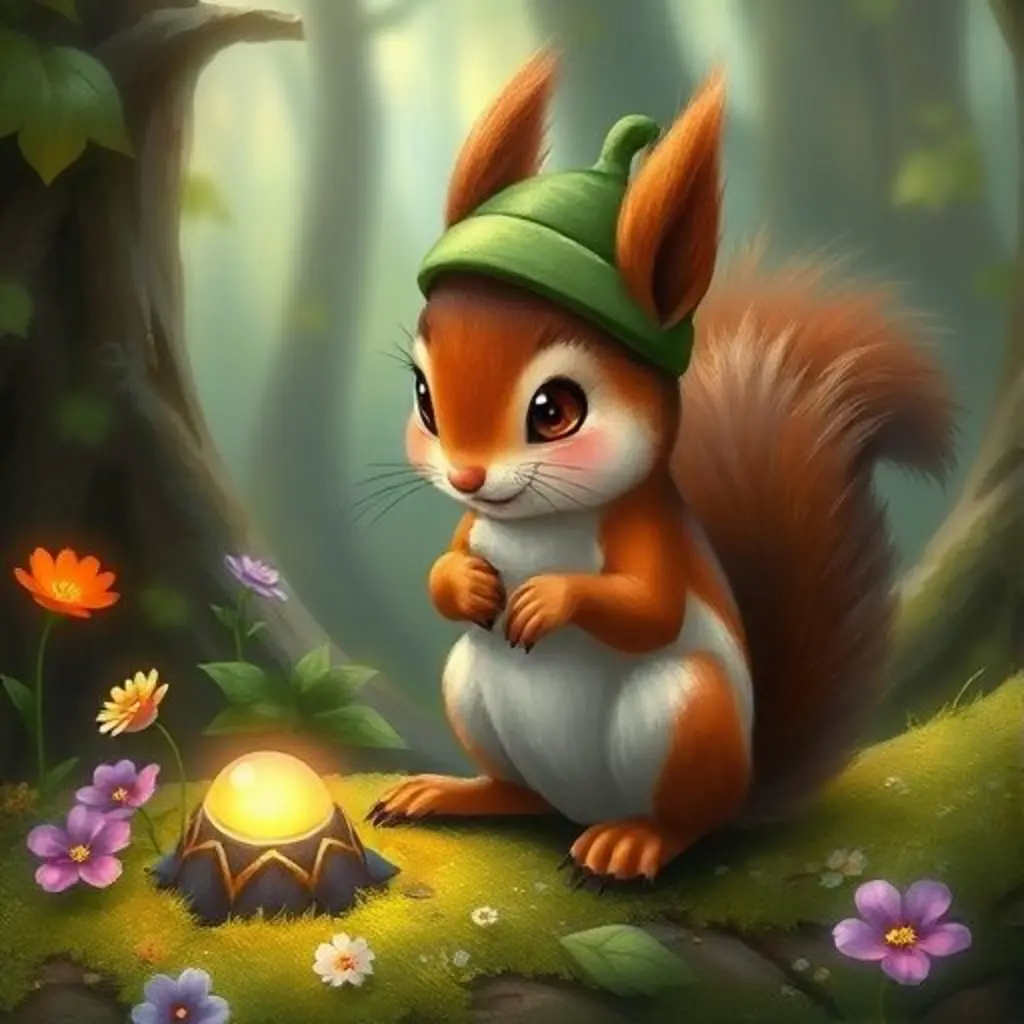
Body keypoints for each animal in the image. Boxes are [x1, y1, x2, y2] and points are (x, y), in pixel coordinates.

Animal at [366, 52, 955, 884]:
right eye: (423, 396)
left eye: (555, 409)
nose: (469, 478)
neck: (538, 525)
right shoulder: (472, 526)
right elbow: (443, 569)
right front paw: (468, 583)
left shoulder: (647, 532)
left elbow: (650, 608)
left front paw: (548, 599)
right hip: (472, 690)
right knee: (522, 793)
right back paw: (457, 792)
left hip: (684, 712)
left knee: (689, 820)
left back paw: (634, 842)